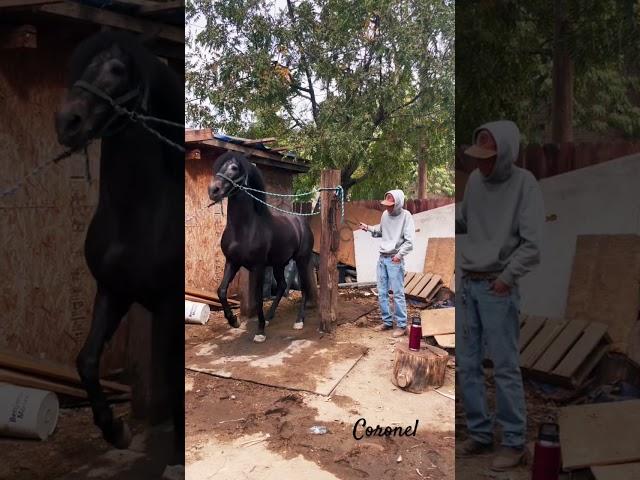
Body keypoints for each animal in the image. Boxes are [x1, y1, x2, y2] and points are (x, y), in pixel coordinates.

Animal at [53, 32, 184, 472]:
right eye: (77, 66)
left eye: (117, 69)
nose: (67, 122)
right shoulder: (113, 292)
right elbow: (86, 361)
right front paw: (115, 430)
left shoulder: (168, 304)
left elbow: (174, 379)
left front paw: (177, 459)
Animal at [210, 152, 318, 344]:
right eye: (217, 166)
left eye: (234, 168)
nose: (213, 190)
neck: (244, 228)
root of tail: (301, 221)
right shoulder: (232, 262)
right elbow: (221, 291)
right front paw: (234, 321)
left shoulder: (258, 267)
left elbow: (258, 298)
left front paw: (259, 331)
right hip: (279, 264)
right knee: (282, 286)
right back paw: (269, 317)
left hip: (302, 260)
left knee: (305, 287)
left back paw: (298, 321)